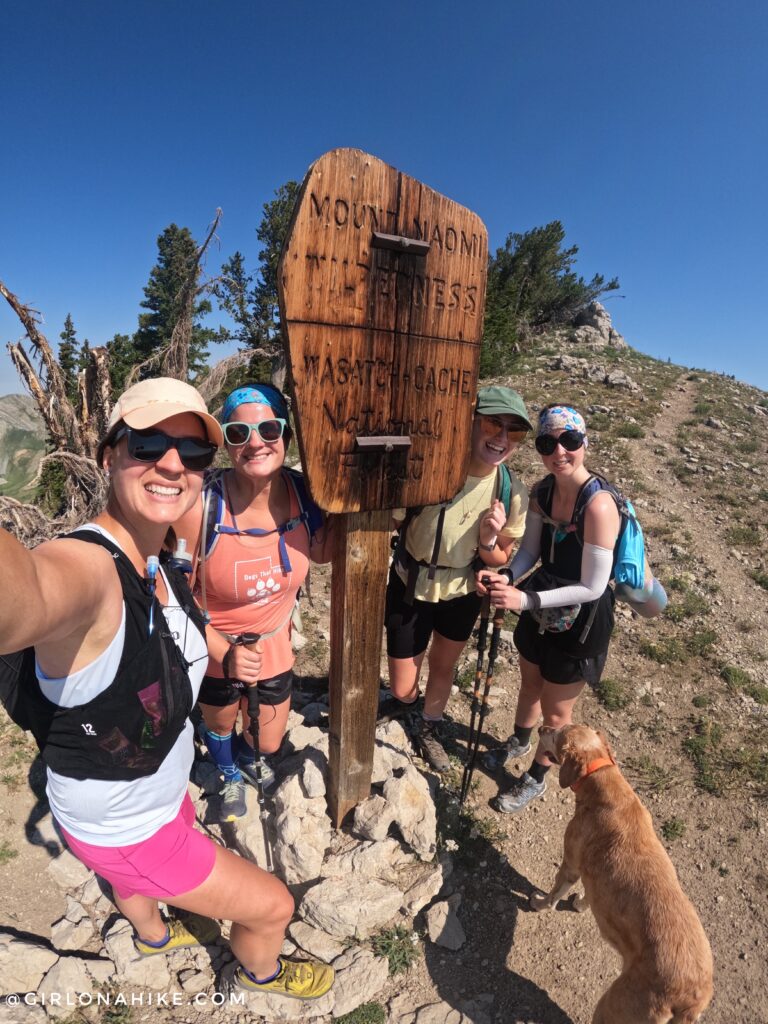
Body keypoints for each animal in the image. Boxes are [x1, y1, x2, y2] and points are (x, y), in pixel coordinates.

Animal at [528, 724, 716, 1019]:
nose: (541, 727)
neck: (603, 782)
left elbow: (553, 894)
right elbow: (590, 894)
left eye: (556, 734)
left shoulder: (570, 865)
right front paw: (581, 903)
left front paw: (540, 903)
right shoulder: (596, 877)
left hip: (611, 1004)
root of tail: (690, 999)